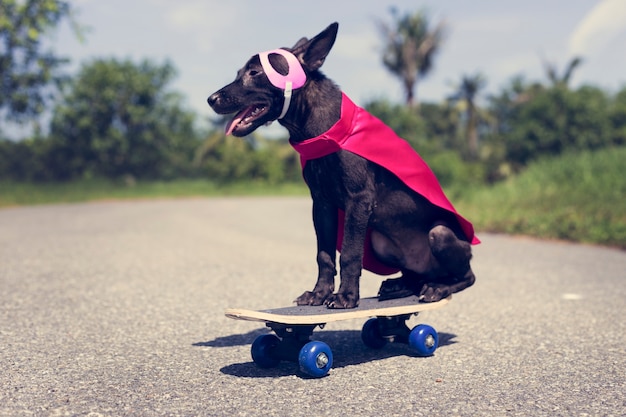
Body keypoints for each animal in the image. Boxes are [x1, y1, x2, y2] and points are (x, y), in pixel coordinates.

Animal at [207, 23, 476, 308]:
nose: (211, 99)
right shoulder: (321, 204)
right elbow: (324, 255)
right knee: (416, 275)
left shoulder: (358, 201)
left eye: (255, 72)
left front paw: (346, 295)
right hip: (381, 243)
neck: (326, 132)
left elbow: (348, 253)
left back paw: (437, 288)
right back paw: (400, 285)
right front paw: (319, 293)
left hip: (440, 233)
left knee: (466, 276)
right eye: (239, 73)